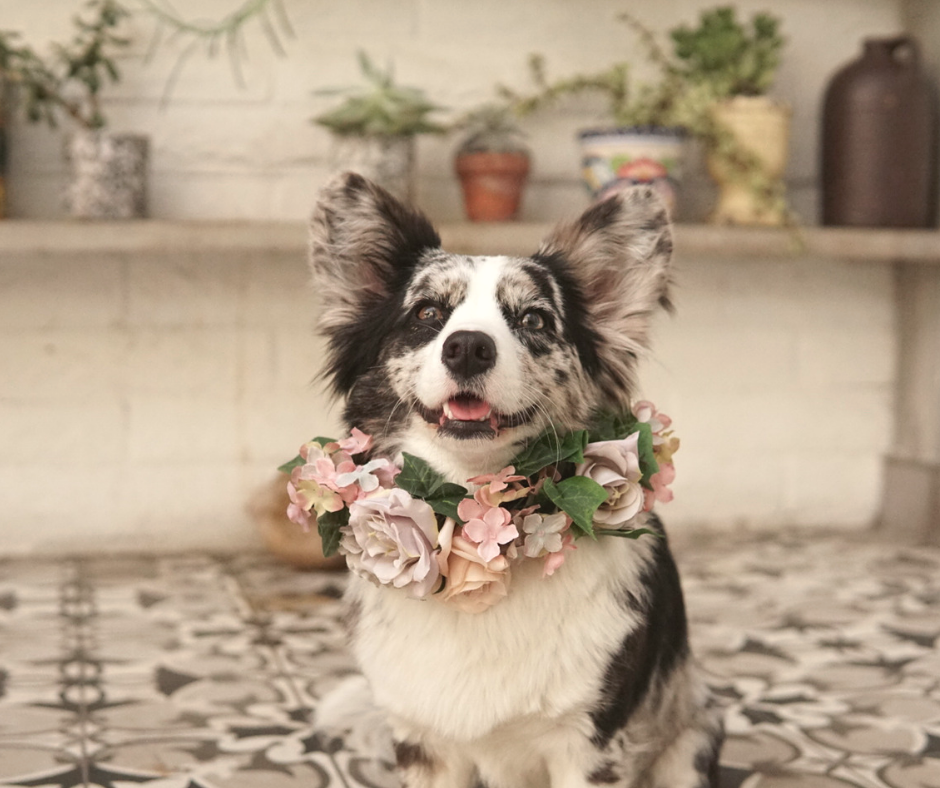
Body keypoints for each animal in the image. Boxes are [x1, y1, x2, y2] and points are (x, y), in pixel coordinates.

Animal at [304, 174, 724, 788]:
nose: (468, 346)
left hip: (688, 742)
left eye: (534, 320)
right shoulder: (425, 746)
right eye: (427, 313)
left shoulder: (591, 743)